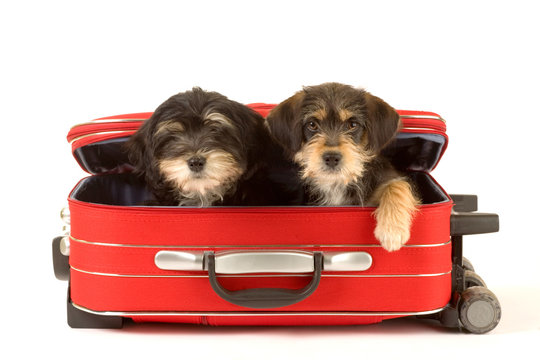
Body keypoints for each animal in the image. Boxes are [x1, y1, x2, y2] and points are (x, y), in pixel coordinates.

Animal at [268, 82, 420, 252]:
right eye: (312, 124)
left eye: (352, 124)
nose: (331, 158)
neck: (337, 183)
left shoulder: (389, 177)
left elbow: (397, 185)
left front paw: (392, 230)